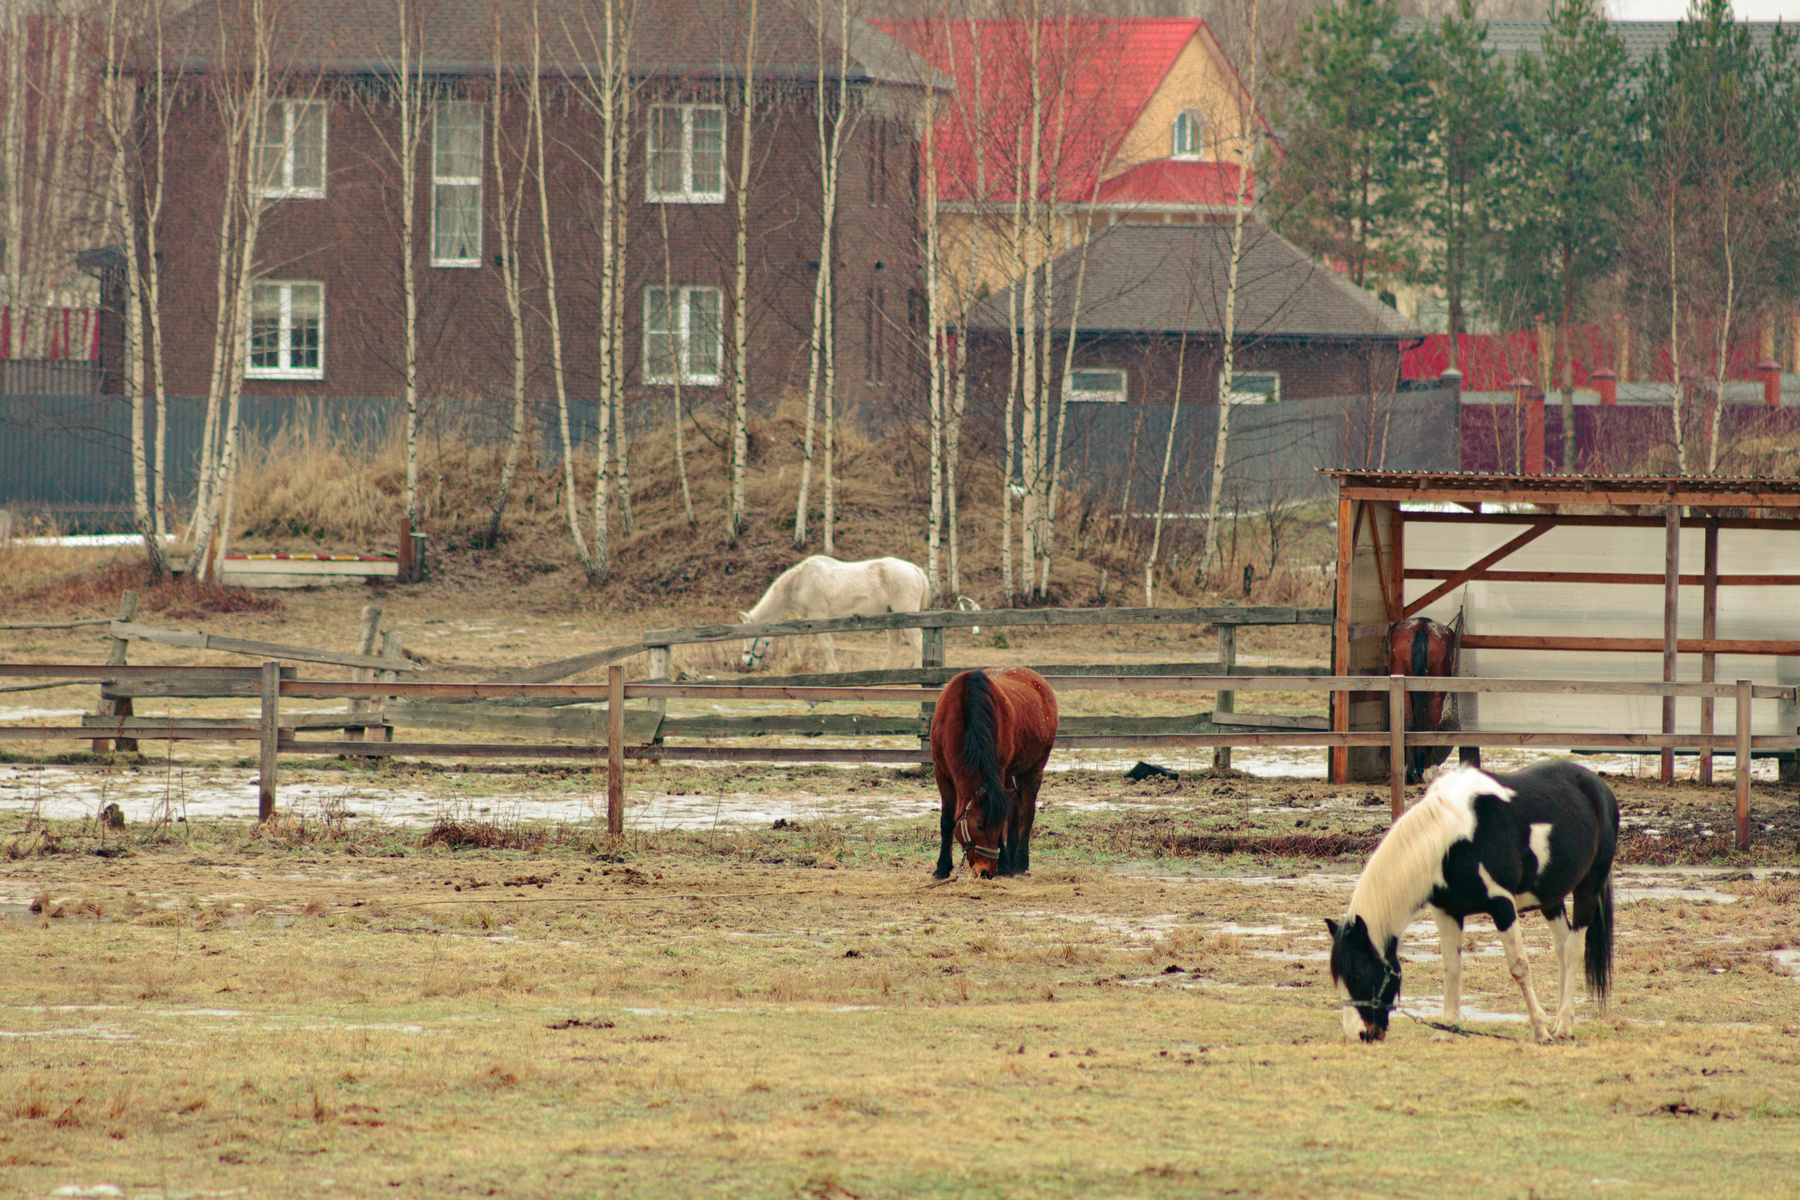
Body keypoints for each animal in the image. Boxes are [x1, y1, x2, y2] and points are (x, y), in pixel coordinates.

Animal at [738, 556, 930, 672]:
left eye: (749, 638)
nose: (746, 662)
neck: (799, 581)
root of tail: (914, 569)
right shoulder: (806, 617)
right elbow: (791, 637)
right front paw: (795, 661)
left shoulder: (818, 615)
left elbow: (826, 644)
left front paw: (831, 669)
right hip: (890, 617)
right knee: (895, 644)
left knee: (917, 641)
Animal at [930, 668, 1059, 880]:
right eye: (979, 826)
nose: (985, 871)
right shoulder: (942, 772)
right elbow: (947, 819)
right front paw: (942, 868)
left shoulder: (999, 773)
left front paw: (1004, 865)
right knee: (1015, 806)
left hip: (1033, 768)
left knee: (1026, 812)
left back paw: (1020, 863)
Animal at [1326, 760, 1617, 1045]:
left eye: (1359, 973)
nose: (1358, 1034)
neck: (1451, 841)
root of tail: (1599, 787)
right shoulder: (1446, 912)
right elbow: (1451, 967)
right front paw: (1447, 1028)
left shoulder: (1503, 906)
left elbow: (1519, 966)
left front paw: (1540, 1030)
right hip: (1550, 898)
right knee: (1561, 947)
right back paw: (1561, 1021)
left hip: (1588, 888)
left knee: (1573, 950)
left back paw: (1563, 1026)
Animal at [1388, 615, 1461, 783]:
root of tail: (1421, 627)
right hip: (1436, 692)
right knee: (1430, 727)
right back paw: (1430, 771)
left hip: (1403, 687)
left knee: (1408, 723)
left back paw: (1407, 773)